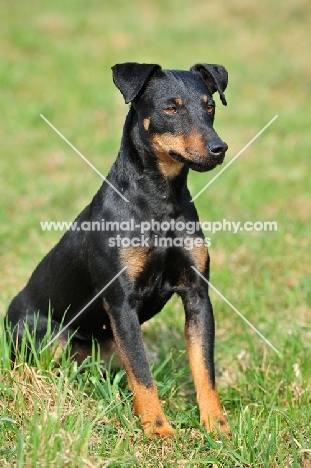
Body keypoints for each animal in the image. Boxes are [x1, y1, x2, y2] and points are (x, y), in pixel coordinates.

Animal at [6, 61, 232, 436]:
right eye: (171, 108)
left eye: (210, 107)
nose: (219, 147)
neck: (160, 201)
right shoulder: (121, 302)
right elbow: (142, 373)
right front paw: (158, 429)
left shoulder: (197, 294)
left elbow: (204, 368)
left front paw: (216, 425)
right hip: (49, 337)